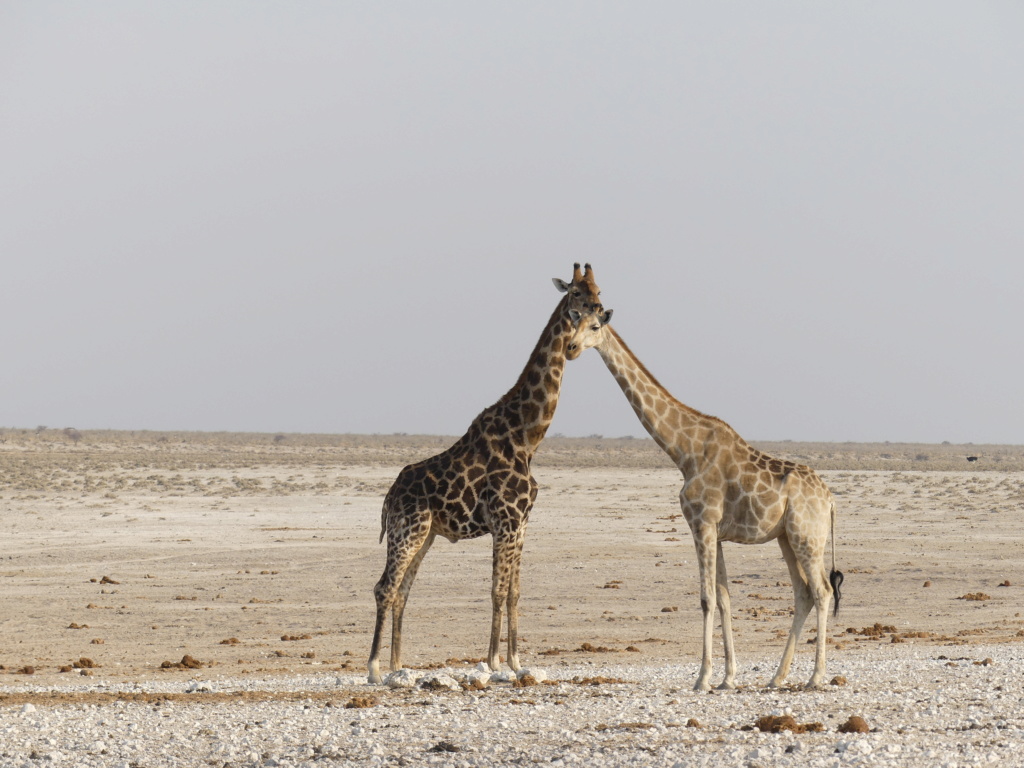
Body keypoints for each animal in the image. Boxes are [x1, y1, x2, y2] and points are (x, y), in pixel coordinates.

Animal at [366, 264, 606, 684]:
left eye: (598, 290)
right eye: (576, 292)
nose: (598, 310)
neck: (527, 436)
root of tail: (389, 496)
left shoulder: (522, 524)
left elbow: (514, 591)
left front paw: (515, 661)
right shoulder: (505, 522)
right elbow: (496, 590)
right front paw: (493, 662)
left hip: (424, 535)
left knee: (404, 590)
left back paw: (398, 666)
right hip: (406, 530)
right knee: (384, 588)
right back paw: (375, 669)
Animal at [573, 303, 843, 696]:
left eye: (594, 326)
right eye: (573, 322)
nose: (571, 348)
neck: (683, 452)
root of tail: (830, 500)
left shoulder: (701, 523)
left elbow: (706, 598)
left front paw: (702, 678)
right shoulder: (715, 531)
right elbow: (725, 597)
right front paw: (728, 677)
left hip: (807, 536)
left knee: (821, 591)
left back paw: (816, 676)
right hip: (786, 538)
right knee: (803, 593)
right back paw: (777, 676)